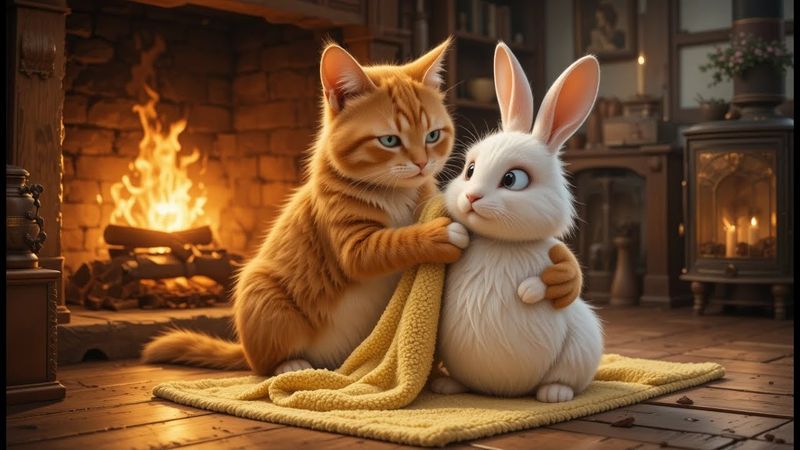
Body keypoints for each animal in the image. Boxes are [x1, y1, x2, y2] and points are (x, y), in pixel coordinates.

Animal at [432, 43, 604, 402]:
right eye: (470, 170)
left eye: (513, 179)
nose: (472, 198)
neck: (501, 243)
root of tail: (502, 390)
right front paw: (454, 234)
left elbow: (565, 275)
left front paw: (529, 290)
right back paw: (448, 386)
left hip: (582, 341)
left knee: (567, 378)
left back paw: (555, 393)